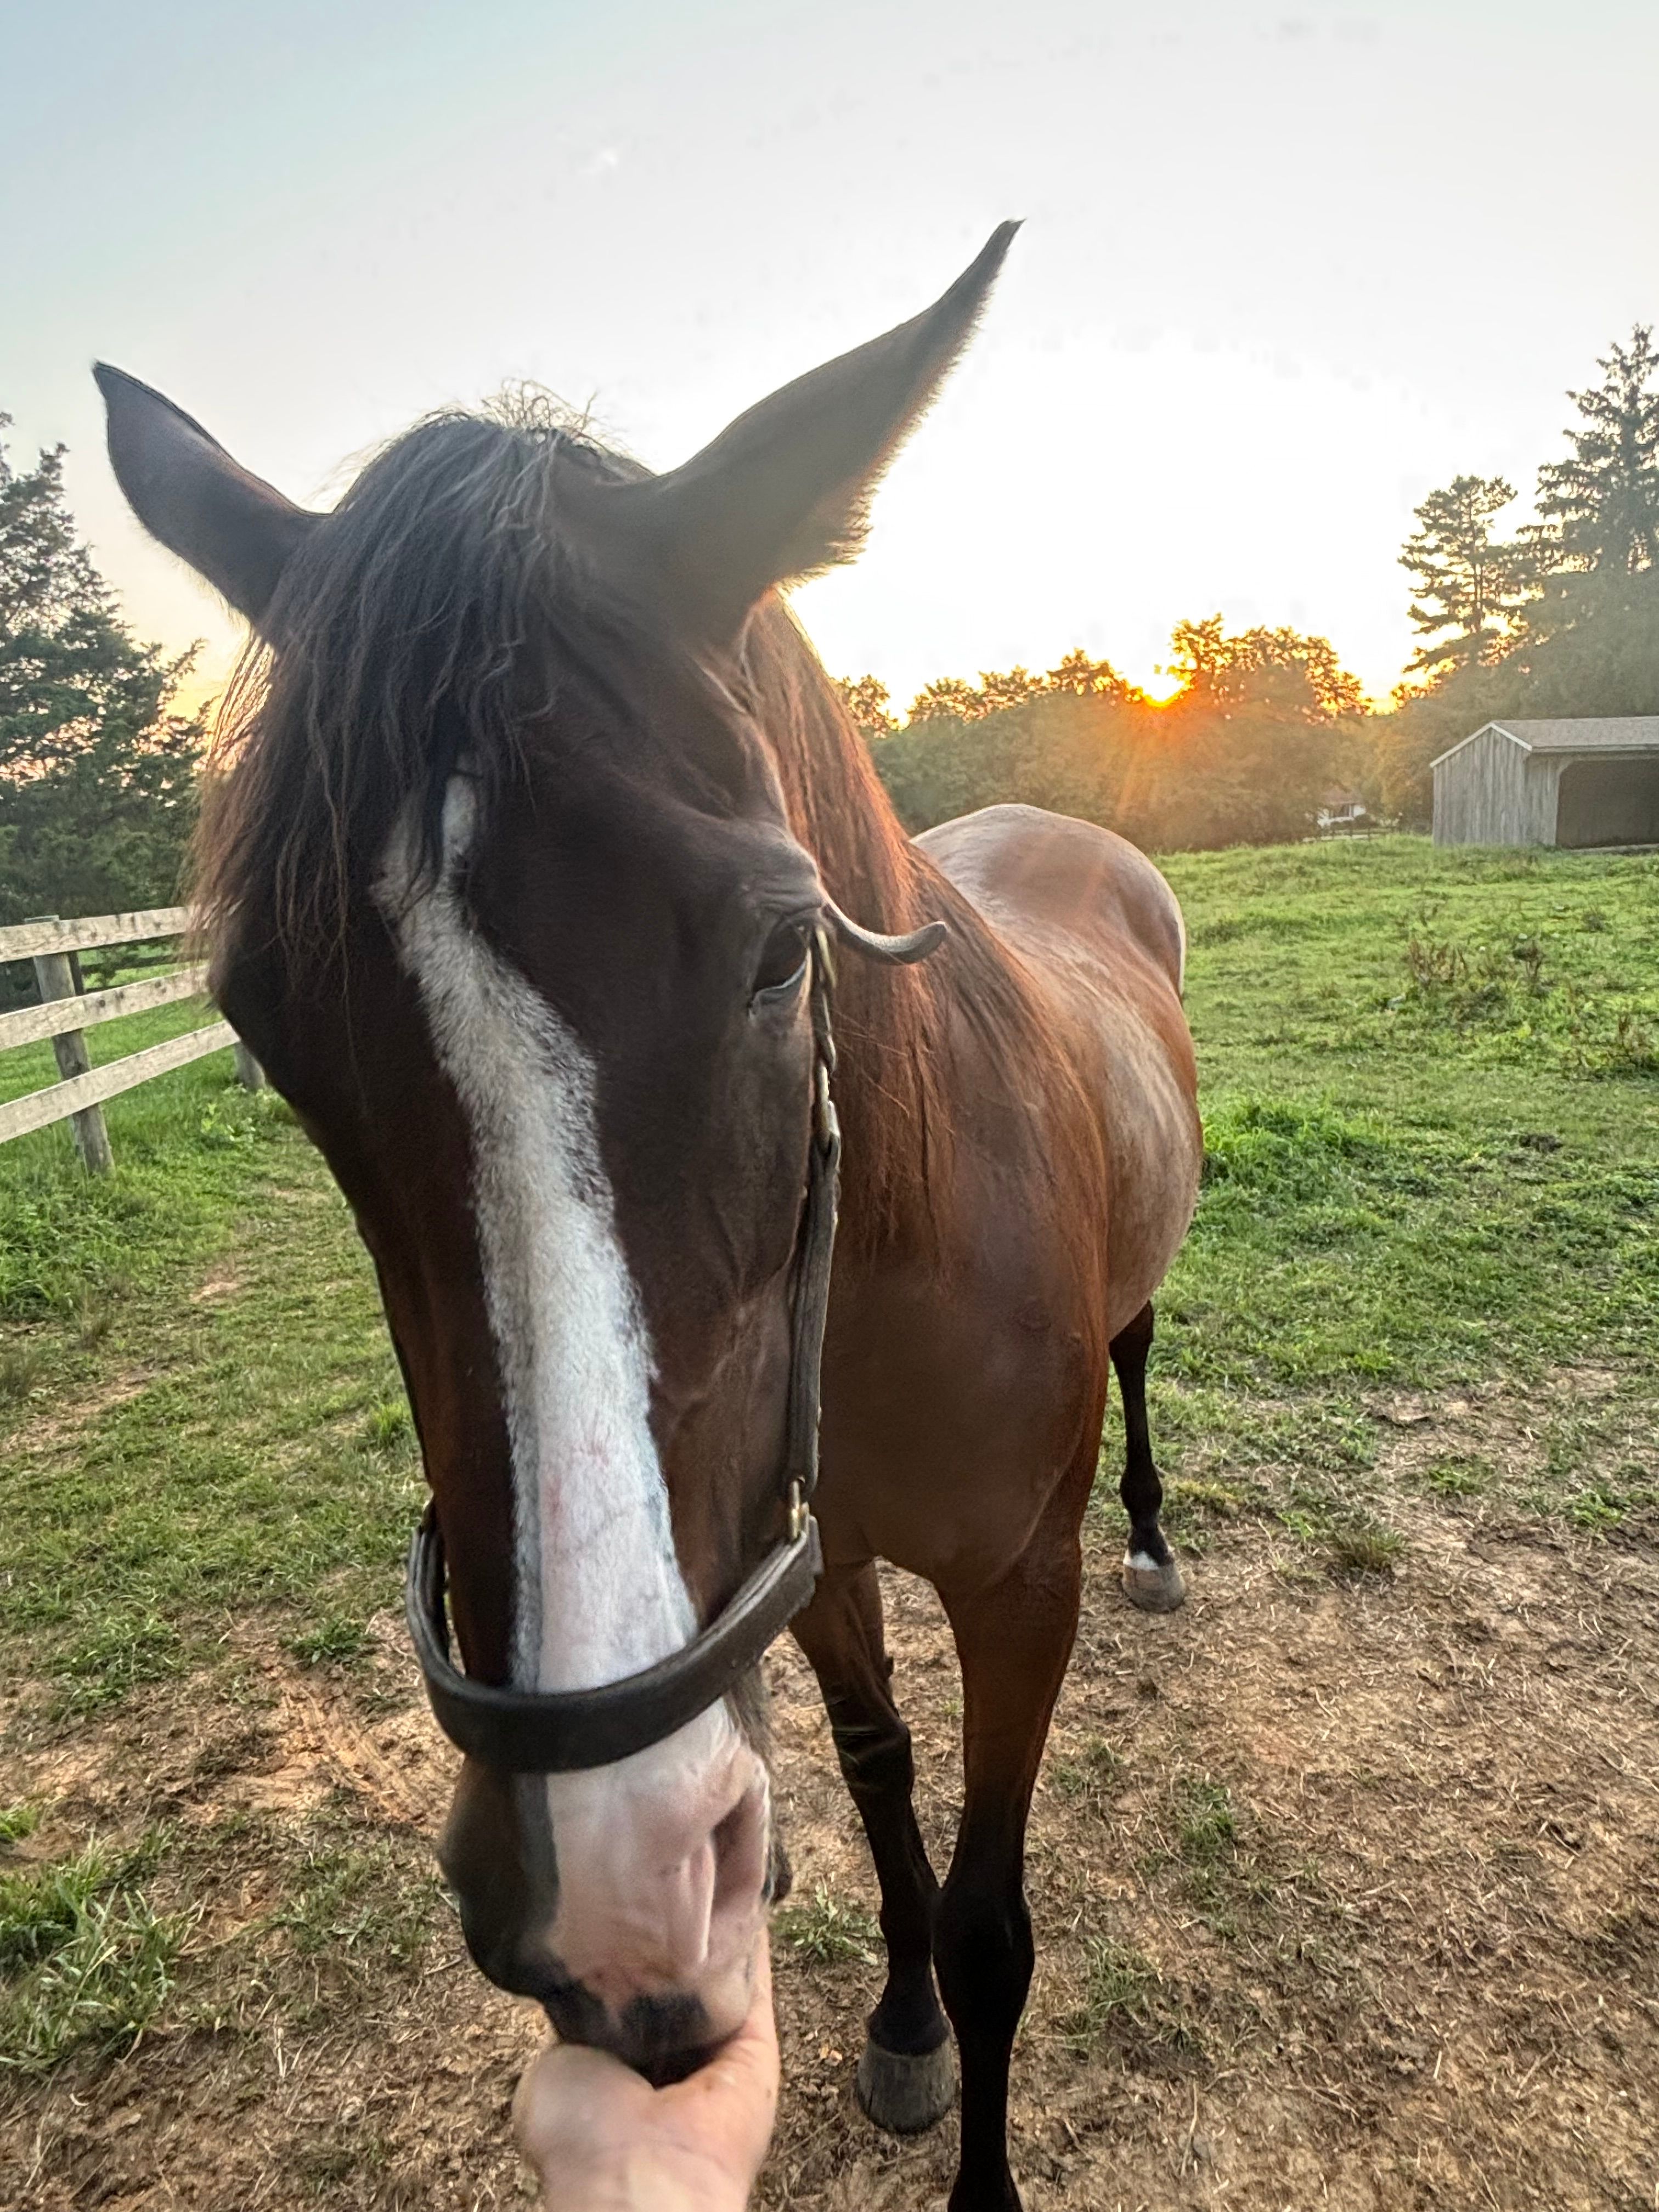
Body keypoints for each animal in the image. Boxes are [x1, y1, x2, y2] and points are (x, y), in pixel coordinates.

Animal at [96, 224, 1202, 2212]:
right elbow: (880, 1779)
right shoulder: (804, 1572)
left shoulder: (1022, 1592)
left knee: (1149, 1359)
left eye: (778, 949)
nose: (600, 1878)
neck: (885, 1286)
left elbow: (996, 1918)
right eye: (264, 1029)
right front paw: (901, 2025)